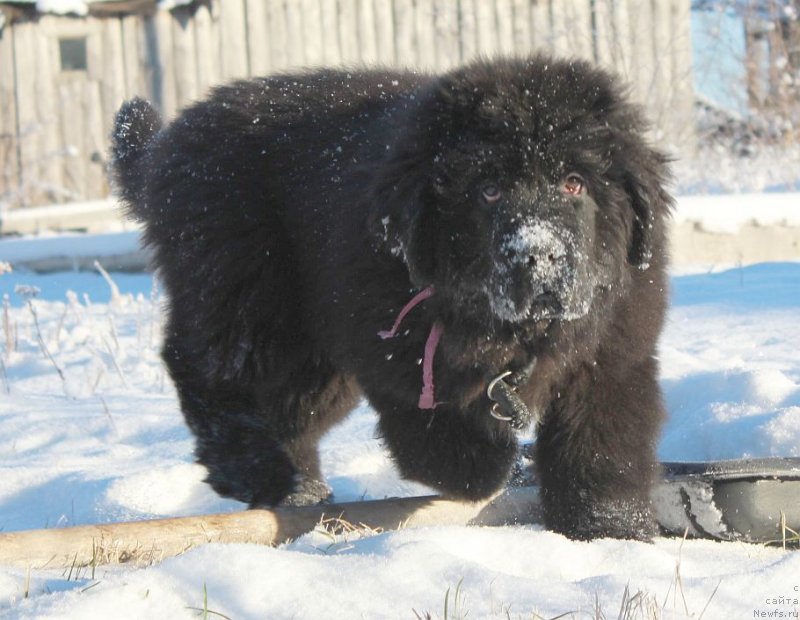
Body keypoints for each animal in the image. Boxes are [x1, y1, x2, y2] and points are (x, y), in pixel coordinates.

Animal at [112, 55, 672, 540]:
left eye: (575, 183)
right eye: (488, 190)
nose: (537, 256)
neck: (512, 330)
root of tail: (169, 143)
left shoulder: (610, 359)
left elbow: (600, 448)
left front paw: (609, 531)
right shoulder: (393, 349)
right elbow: (440, 436)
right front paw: (488, 465)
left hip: (311, 353)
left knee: (286, 407)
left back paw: (298, 487)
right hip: (245, 292)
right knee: (207, 370)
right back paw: (258, 472)